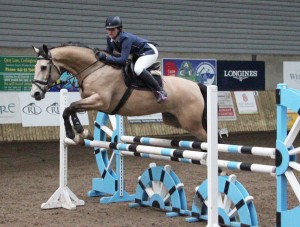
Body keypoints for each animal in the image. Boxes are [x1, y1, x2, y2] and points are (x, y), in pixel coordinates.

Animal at [31, 42, 209, 145]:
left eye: (44, 67)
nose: (35, 94)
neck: (94, 69)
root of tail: (196, 86)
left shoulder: (100, 101)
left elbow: (70, 108)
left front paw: (74, 133)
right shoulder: (89, 100)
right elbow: (70, 108)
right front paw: (80, 133)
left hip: (191, 123)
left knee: (207, 139)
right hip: (175, 120)